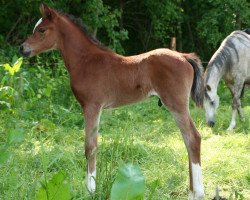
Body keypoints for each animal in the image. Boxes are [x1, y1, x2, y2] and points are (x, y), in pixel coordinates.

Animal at [20, 3, 205, 199]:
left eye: (41, 29)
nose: (22, 48)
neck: (85, 60)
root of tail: (184, 56)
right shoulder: (94, 108)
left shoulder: (91, 106)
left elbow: (90, 147)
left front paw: (91, 191)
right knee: (187, 140)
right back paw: (191, 192)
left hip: (176, 104)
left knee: (193, 138)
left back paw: (198, 193)